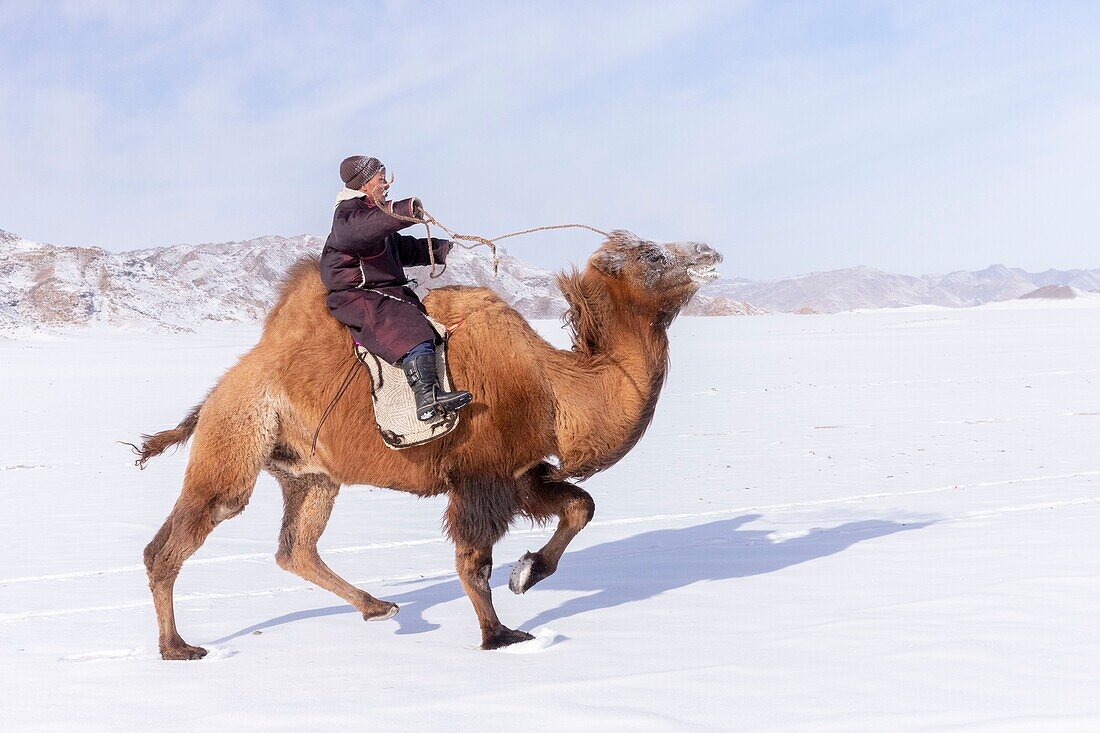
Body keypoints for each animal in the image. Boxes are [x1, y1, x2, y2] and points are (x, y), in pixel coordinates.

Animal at [135, 230, 721, 655]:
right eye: (652, 253)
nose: (710, 251)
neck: (552, 387)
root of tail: (219, 390)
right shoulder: (480, 476)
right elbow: (473, 561)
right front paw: (499, 636)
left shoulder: (517, 470)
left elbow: (581, 506)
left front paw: (527, 573)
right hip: (236, 434)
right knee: (186, 530)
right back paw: (177, 647)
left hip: (310, 474)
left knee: (295, 546)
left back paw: (379, 608)